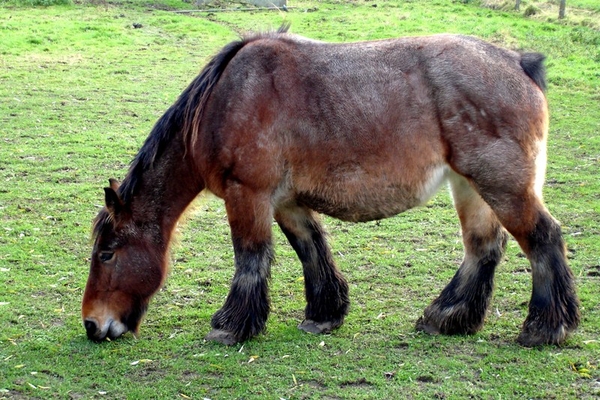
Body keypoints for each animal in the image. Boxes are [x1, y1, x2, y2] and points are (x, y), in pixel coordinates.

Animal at [82, 25, 580, 346]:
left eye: (107, 253)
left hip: (503, 186)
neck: (225, 99)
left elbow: (250, 257)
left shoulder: (249, 195)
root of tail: (518, 62)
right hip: (470, 186)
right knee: (482, 248)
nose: (92, 325)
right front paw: (324, 315)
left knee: (542, 238)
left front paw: (230, 325)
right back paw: (446, 319)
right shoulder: (286, 202)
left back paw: (543, 329)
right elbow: (311, 249)